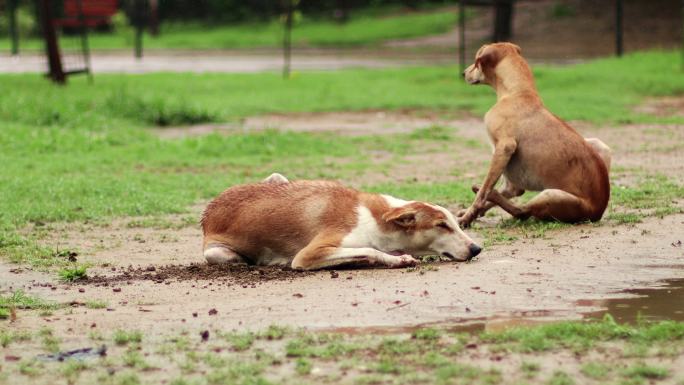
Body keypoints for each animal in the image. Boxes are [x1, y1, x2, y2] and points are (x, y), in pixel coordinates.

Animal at [202, 174, 480, 270]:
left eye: (455, 223)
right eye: (441, 225)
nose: (477, 248)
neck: (378, 219)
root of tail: (209, 208)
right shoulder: (308, 255)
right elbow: (369, 250)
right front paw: (397, 259)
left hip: (278, 179)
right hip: (218, 253)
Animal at [456, 43, 612, 226]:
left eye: (476, 61)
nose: (463, 73)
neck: (518, 92)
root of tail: (598, 211)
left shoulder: (504, 148)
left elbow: (484, 193)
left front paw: (468, 217)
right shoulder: (509, 176)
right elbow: (507, 191)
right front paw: (469, 212)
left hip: (551, 194)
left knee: (522, 212)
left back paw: (491, 195)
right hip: (599, 145)